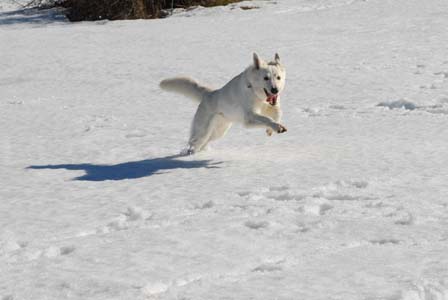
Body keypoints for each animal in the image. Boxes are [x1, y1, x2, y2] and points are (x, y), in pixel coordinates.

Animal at [160, 53, 288, 155]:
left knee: (203, 143)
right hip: (203, 131)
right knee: (194, 142)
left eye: (278, 77)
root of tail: (209, 94)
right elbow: (267, 119)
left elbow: (278, 113)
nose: (275, 90)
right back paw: (189, 153)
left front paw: (271, 129)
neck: (258, 96)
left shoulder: (272, 107)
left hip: (219, 131)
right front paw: (276, 127)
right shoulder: (249, 119)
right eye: (266, 78)